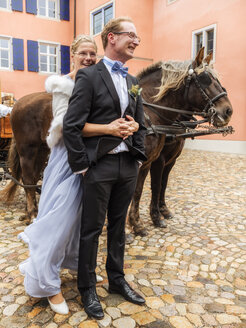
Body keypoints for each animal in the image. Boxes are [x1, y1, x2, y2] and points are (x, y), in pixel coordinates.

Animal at [129, 47, 233, 236]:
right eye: (205, 79)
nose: (228, 111)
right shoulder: (157, 160)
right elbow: (154, 185)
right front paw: (155, 217)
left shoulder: (163, 160)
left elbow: (157, 185)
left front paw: (156, 213)